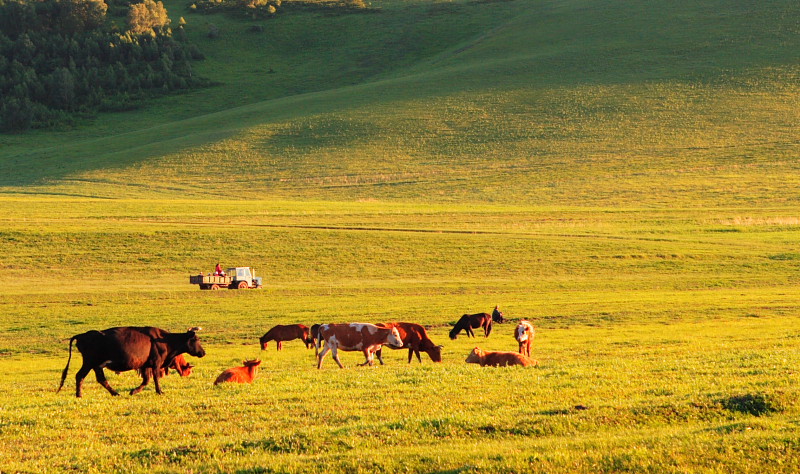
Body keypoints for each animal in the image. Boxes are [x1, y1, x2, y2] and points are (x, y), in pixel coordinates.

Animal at [57, 326, 206, 396]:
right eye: (196, 340)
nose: (203, 353)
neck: (165, 340)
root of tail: (83, 335)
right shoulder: (156, 363)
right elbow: (155, 379)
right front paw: (159, 391)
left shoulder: (145, 365)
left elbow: (146, 380)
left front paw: (134, 391)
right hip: (91, 362)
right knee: (85, 376)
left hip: (92, 364)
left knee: (90, 377)